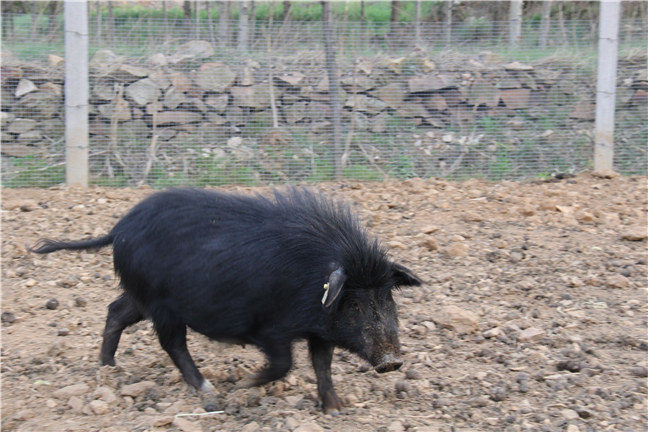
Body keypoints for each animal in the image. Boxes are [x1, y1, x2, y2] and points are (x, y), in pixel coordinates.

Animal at [31, 188, 420, 412]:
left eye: (387, 299)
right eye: (354, 304)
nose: (392, 361)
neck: (312, 279)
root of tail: (118, 229)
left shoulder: (320, 331)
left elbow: (322, 366)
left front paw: (336, 409)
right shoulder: (268, 328)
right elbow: (284, 364)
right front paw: (244, 386)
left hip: (142, 295)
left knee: (115, 311)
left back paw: (108, 367)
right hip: (162, 305)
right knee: (172, 344)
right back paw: (210, 393)